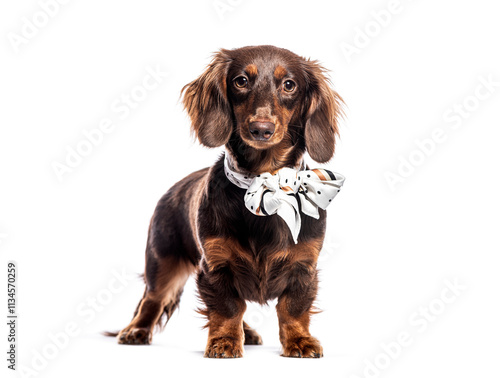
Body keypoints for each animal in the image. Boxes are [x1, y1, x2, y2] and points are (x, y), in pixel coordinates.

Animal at [107, 45, 344, 358]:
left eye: (289, 85)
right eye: (241, 81)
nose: (261, 129)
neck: (263, 183)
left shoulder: (303, 265)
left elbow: (293, 309)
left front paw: (300, 341)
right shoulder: (216, 265)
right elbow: (228, 308)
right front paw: (224, 342)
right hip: (162, 260)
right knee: (152, 299)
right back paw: (136, 330)